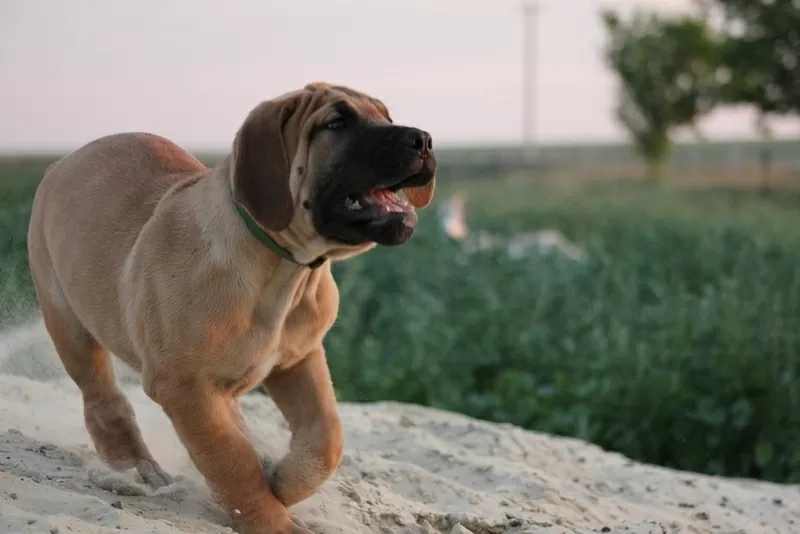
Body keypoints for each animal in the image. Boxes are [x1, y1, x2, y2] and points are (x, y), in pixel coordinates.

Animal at [26, 81, 438, 532]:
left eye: (385, 115)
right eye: (336, 123)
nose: (423, 139)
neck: (285, 270)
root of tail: (61, 163)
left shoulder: (300, 358)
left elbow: (326, 435)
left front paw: (281, 480)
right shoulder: (182, 385)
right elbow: (230, 459)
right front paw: (272, 520)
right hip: (67, 321)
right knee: (103, 399)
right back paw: (136, 469)